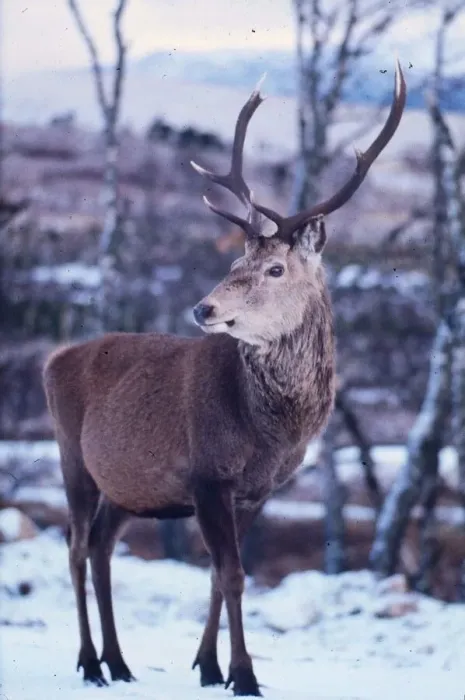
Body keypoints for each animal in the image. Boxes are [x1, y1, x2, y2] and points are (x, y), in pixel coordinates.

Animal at [42, 62, 406, 697]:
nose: (203, 308)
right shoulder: (209, 474)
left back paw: (119, 661)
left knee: (104, 545)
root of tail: (52, 359)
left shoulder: (255, 490)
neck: (267, 431)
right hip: (70, 456)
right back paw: (89, 662)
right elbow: (232, 575)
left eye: (274, 268)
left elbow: (219, 575)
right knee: (76, 547)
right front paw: (244, 674)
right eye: (234, 263)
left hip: (128, 483)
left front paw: (208, 666)